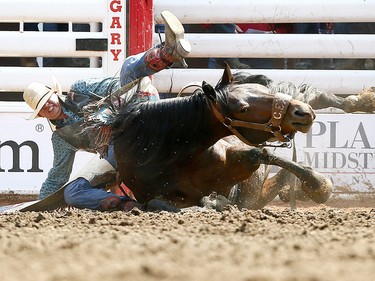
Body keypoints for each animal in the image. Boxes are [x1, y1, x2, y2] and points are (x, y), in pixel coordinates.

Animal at [94, 64, 332, 209]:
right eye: (243, 108)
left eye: (262, 91)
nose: (303, 112)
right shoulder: (146, 195)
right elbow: (158, 203)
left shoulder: (237, 163)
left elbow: (263, 155)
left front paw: (319, 185)